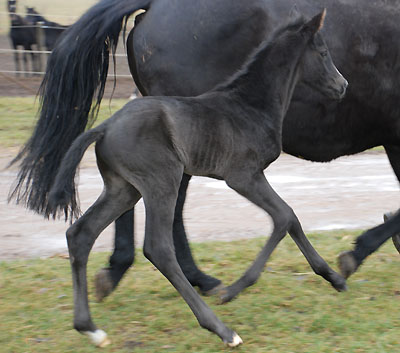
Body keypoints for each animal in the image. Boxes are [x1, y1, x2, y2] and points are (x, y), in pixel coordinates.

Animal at [44, 11, 344, 346]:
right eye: (323, 53)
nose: (342, 85)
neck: (250, 105)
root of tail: (104, 126)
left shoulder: (251, 177)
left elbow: (290, 218)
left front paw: (334, 278)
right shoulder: (243, 176)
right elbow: (284, 216)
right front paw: (233, 290)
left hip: (123, 189)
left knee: (81, 234)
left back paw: (90, 329)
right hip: (162, 182)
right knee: (159, 248)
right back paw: (222, 329)